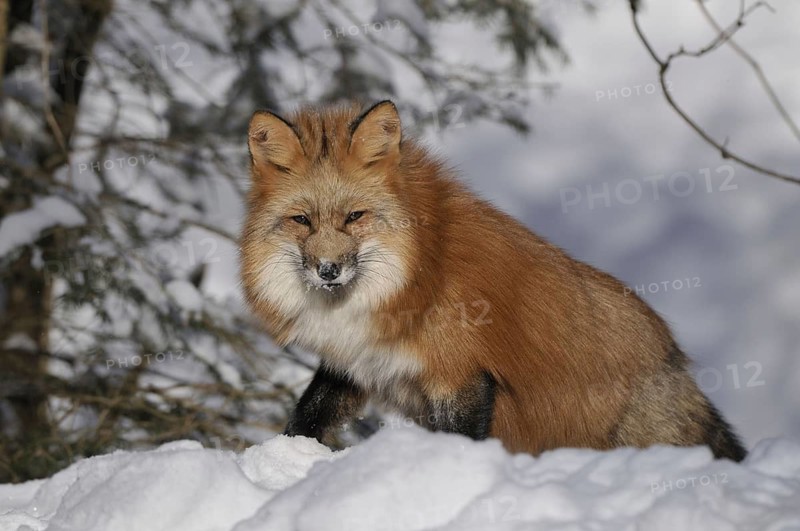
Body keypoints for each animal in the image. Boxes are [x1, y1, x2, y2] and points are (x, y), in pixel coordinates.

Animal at [239, 100, 747, 461]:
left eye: (354, 217)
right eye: (302, 220)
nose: (328, 270)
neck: (415, 274)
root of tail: (675, 357)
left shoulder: (462, 374)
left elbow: (459, 441)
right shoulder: (358, 362)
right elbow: (307, 417)